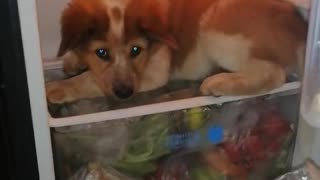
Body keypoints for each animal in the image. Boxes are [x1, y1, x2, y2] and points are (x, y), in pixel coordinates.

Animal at [45, 0, 308, 104]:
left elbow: (90, 80)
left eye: (136, 50)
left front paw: (58, 88)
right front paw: (73, 60)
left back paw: (218, 82)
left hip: (213, 22)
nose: (125, 94)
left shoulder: (154, 71)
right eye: (101, 53)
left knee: (273, 73)